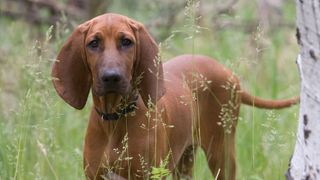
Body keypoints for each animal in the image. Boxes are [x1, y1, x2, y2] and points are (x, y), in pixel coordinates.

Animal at [51, 13, 298, 179]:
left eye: (126, 42)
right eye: (93, 43)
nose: (111, 77)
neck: (115, 118)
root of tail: (229, 74)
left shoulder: (150, 174)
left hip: (221, 150)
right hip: (185, 160)